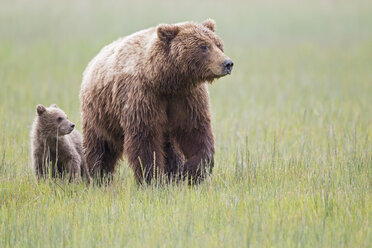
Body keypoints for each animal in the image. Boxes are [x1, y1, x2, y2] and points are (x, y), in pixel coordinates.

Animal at [80, 19, 234, 184]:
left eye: (218, 44)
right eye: (204, 46)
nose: (227, 63)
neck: (165, 82)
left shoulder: (187, 98)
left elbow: (195, 131)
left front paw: (190, 172)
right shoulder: (143, 97)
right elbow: (145, 140)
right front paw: (153, 178)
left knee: (169, 147)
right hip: (101, 114)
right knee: (100, 146)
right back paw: (97, 176)